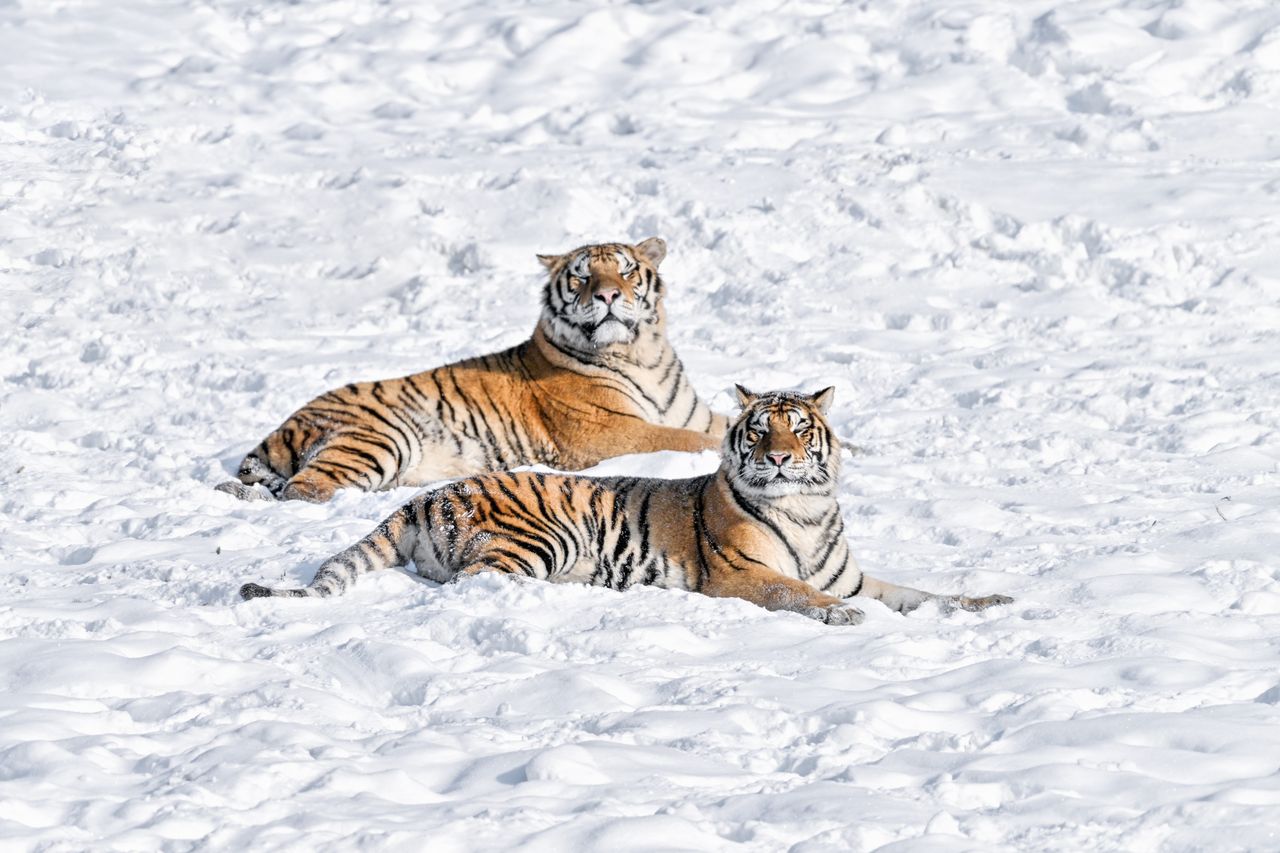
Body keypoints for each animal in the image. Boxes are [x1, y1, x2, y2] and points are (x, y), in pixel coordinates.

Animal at [215, 235, 727, 502]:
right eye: (582, 276)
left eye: (626, 270)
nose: (607, 295)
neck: (641, 354)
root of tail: (281, 427)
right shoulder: (606, 432)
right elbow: (684, 440)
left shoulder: (691, 412)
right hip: (379, 437)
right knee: (302, 488)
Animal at [240, 384, 1013, 625]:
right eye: (761, 429)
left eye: (800, 427)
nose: (780, 458)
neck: (807, 510)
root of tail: (429, 494)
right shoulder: (740, 575)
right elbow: (796, 592)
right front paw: (842, 618)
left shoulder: (854, 573)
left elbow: (919, 593)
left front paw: (987, 602)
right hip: (541, 535)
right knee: (474, 580)